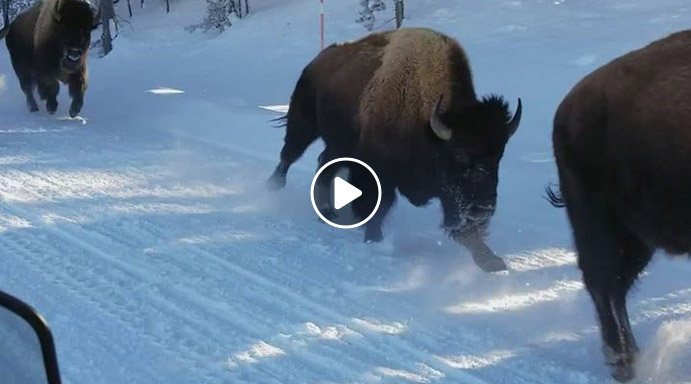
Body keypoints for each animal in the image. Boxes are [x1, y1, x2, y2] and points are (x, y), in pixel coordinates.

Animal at [268, 27, 520, 272]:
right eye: (459, 153)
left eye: (499, 155)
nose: (485, 207)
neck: (426, 123)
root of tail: (315, 62)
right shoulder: (378, 172)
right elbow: (378, 207)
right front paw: (374, 239)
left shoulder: (449, 195)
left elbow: (464, 230)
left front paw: (491, 262)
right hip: (305, 123)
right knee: (290, 154)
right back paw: (274, 186)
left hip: (340, 145)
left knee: (324, 163)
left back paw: (327, 212)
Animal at [552, 30, 691, 380]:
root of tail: (566, 109)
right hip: (603, 226)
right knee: (604, 283)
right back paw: (623, 363)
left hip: (637, 238)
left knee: (615, 286)